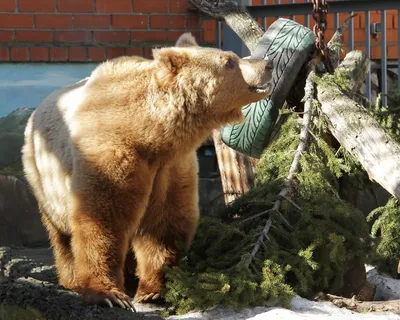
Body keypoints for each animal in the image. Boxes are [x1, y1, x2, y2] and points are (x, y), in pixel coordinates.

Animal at [21, 33, 272, 310]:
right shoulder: (111, 151)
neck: (149, 133)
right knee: (62, 236)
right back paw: (72, 280)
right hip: (44, 179)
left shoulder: (170, 166)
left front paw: (153, 290)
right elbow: (103, 217)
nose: (268, 63)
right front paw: (109, 294)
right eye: (229, 61)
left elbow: (163, 223)